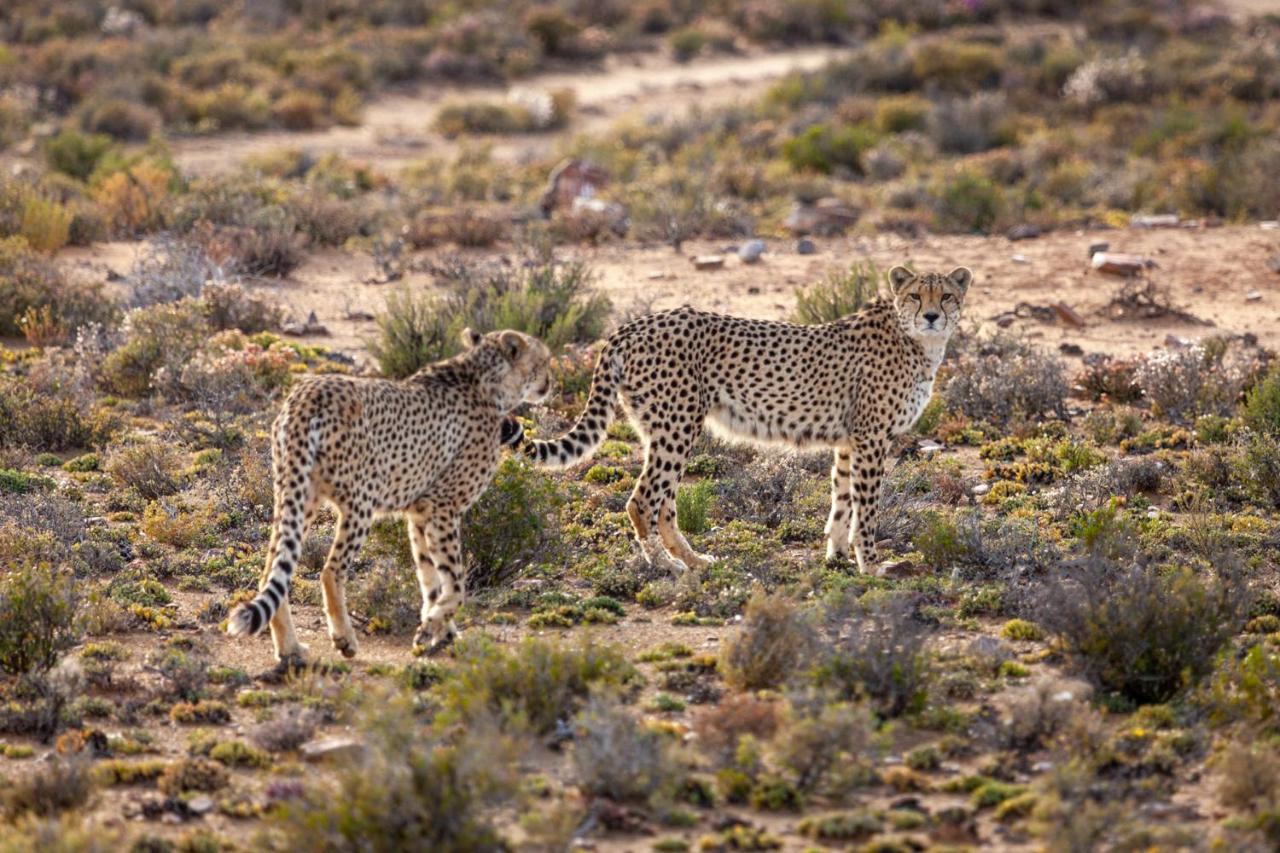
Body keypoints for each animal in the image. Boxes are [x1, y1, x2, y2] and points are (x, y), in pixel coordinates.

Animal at [230, 325, 550, 655]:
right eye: (545, 360)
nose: (549, 382)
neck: (487, 381)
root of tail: (309, 393)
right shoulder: (443, 507)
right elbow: (456, 584)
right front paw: (435, 629)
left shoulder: (420, 514)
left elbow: (432, 581)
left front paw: (437, 632)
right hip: (360, 502)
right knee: (330, 571)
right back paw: (344, 638)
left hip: (298, 496)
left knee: (272, 570)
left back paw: (290, 649)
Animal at [519, 266, 967, 571]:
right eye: (915, 296)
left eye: (946, 296)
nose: (931, 316)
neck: (917, 342)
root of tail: (634, 324)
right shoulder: (872, 439)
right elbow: (867, 509)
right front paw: (872, 565)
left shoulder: (849, 441)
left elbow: (842, 502)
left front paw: (838, 556)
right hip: (678, 425)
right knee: (642, 500)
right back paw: (665, 566)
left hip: (660, 427)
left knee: (664, 504)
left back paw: (694, 560)